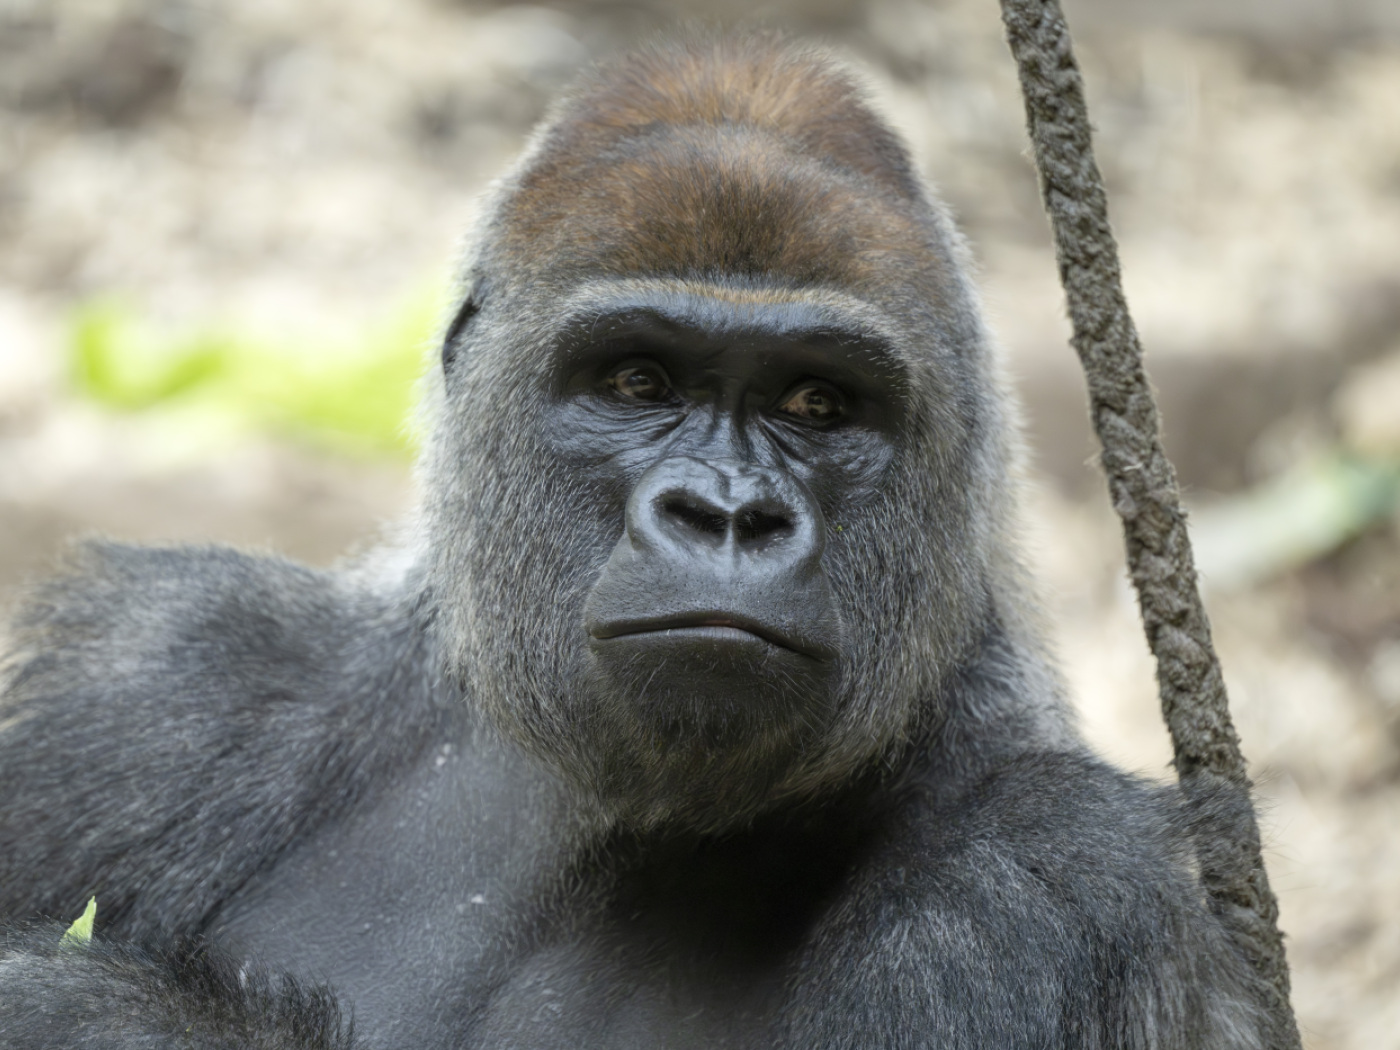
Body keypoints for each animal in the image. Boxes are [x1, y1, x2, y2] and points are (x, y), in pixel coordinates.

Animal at [0, 34, 1275, 1049]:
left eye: (818, 404)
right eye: (637, 381)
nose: (726, 514)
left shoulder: (1051, 874)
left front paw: (86, 1016)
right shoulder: (159, 683)